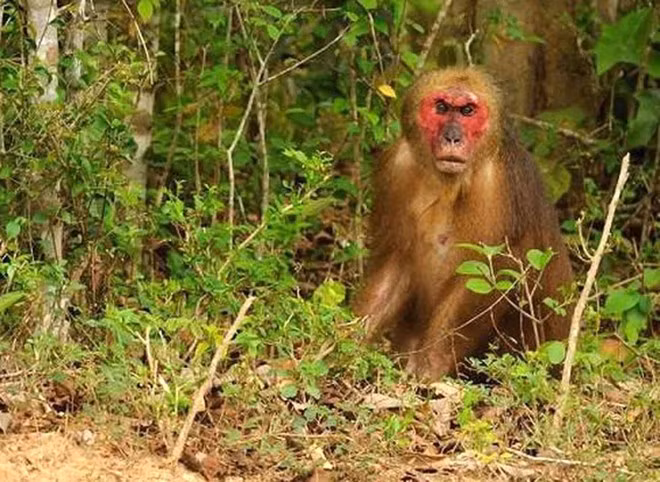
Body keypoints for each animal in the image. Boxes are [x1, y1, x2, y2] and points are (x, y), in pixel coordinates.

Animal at [355, 67, 574, 380]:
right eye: (442, 107)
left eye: (468, 111)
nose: (452, 137)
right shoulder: (396, 167)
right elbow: (395, 264)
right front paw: (341, 343)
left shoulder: (497, 184)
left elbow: (489, 274)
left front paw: (430, 362)